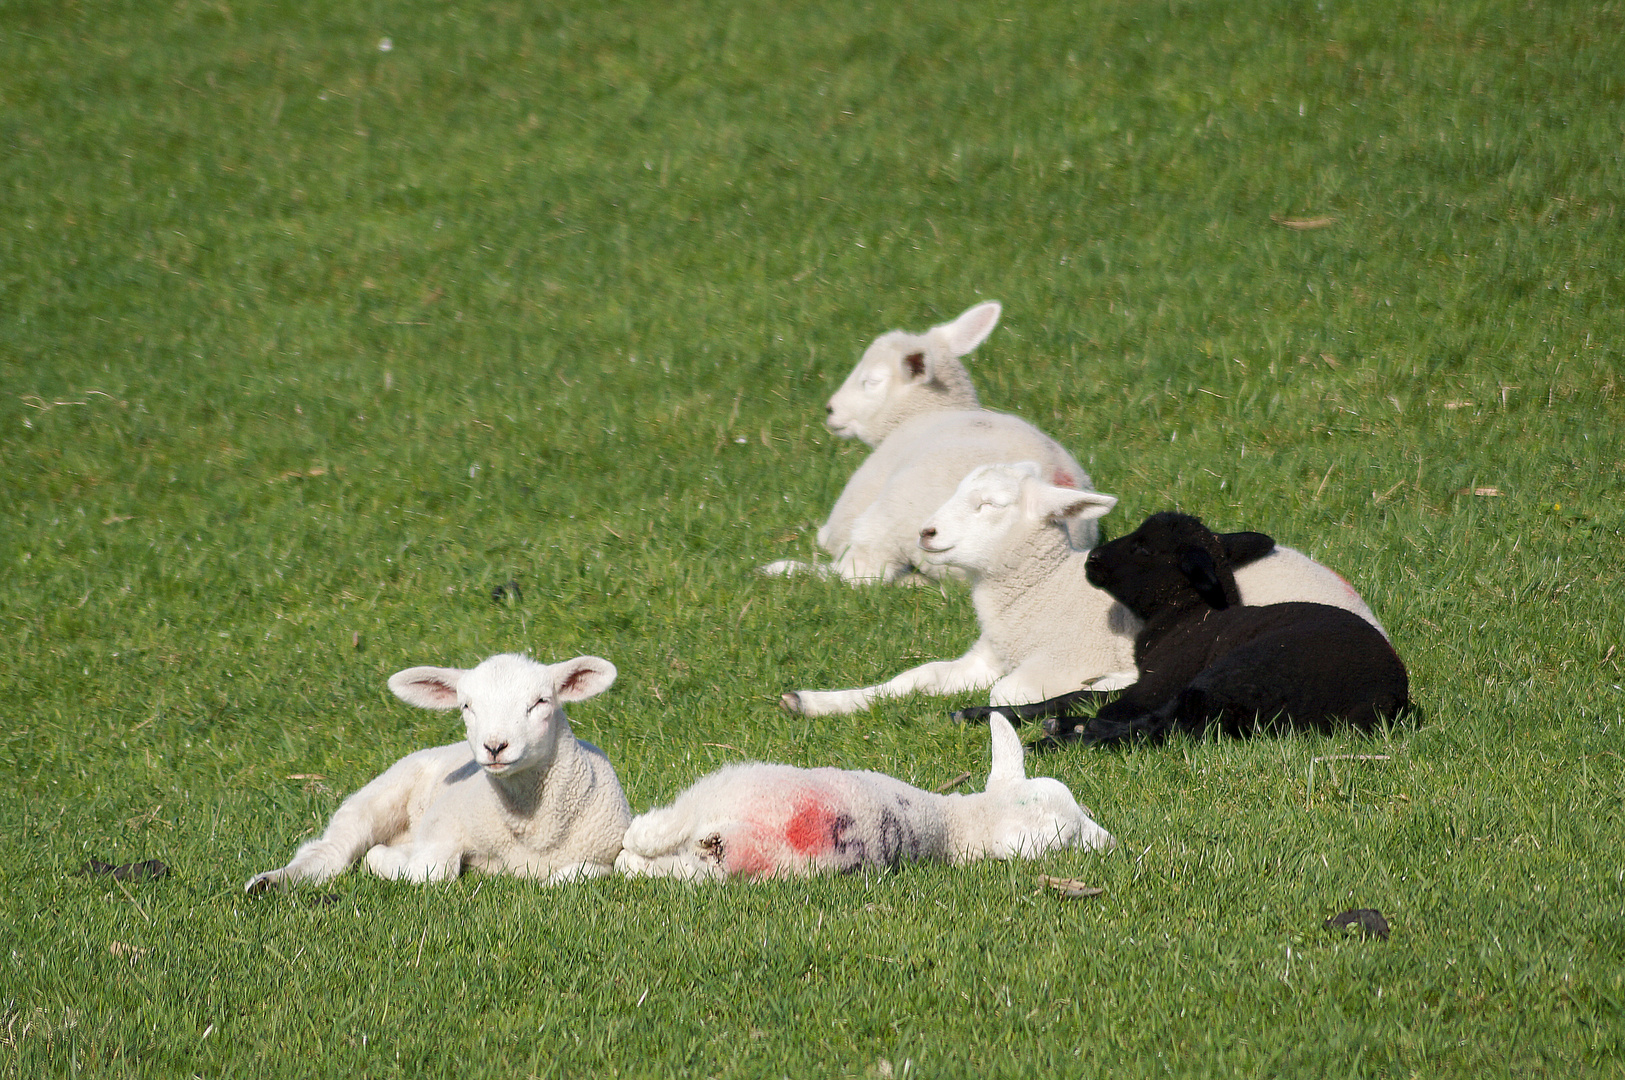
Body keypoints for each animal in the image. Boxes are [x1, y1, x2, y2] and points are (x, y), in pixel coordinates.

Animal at [243, 649, 630, 889]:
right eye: (466, 706)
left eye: (540, 702)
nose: (495, 746)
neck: (530, 831)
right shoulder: (441, 826)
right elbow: (428, 872)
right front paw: (386, 858)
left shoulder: (607, 853)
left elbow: (575, 876)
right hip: (379, 796)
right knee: (331, 851)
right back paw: (270, 882)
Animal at [614, 711, 1111, 883]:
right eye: (1069, 836)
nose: (1110, 842)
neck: (955, 822)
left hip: (723, 799)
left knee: (654, 846)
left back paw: (635, 851)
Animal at [780, 461, 1391, 714]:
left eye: (991, 505)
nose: (925, 533)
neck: (1040, 594)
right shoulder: (991, 654)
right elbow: (916, 677)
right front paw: (817, 701)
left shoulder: (1054, 658)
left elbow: (1003, 696)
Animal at [955, 509, 1404, 747]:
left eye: (1142, 547)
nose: (1092, 559)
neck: (1185, 618)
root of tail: (1386, 701)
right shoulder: (1153, 679)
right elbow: (1072, 696)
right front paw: (982, 712)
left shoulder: (1161, 678)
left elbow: (1100, 704)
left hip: (1239, 673)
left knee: (1159, 726)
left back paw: (1061, 738)